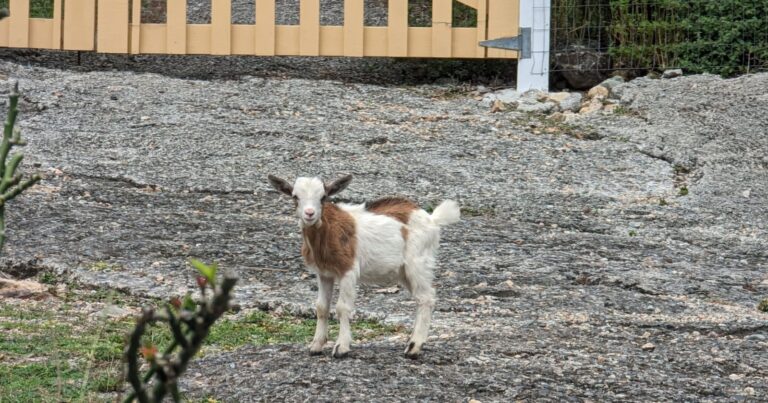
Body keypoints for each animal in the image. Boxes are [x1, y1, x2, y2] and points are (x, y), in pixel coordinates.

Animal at [268, 174, 460, 358]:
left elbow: (342, 307)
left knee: (426, 297)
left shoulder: (348, 269)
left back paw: (413, 348)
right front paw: (316, 346)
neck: (328, 231)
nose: (309, 213)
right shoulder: (324, 273)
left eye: (323, 197)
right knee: (422, 297)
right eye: (295, 196)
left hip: (417, 262)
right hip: (403, 271)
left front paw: (341, 348)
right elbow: (322, 307)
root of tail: (432, 219)